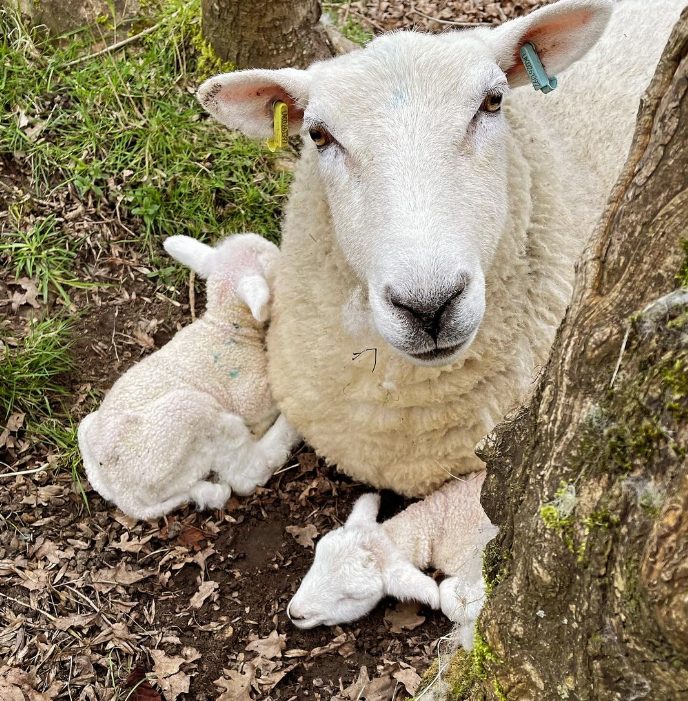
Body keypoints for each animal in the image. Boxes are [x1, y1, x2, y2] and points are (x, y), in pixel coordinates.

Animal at [77, 234, 299, 520]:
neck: (226, 326)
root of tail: (125, 495)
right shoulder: (249, 395)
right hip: (190, 418)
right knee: (246, 474)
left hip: (91, 432)